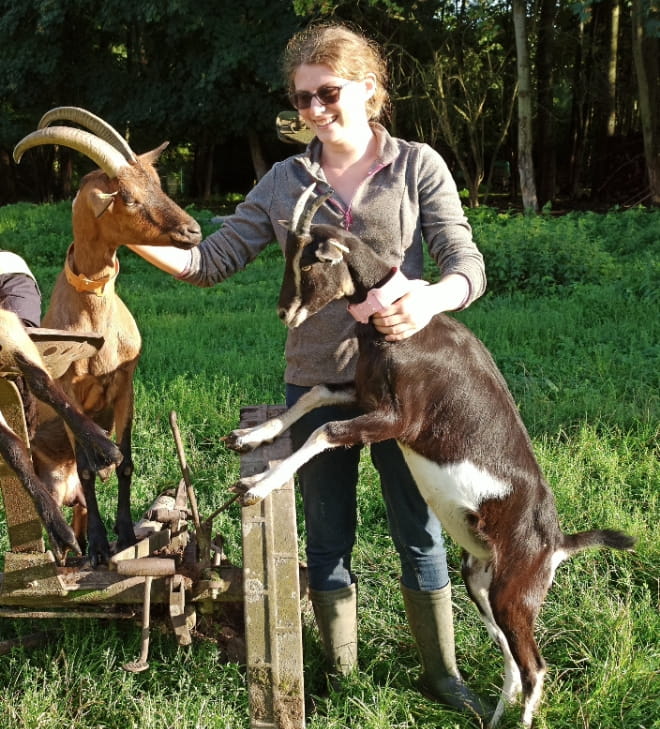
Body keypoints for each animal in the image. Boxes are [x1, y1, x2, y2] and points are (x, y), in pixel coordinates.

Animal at [12, 106, 201, 564]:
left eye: (157, 183)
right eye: (127, 196)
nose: (192, 231)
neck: (96, 322)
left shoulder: (126, 385)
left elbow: (126, 463)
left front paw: (127, 534)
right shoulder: (68, 390)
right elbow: (88, 466)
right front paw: (100, 547)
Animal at [226, 185, 636, 724]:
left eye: (310, 262)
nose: (284, 313)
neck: (401, 325)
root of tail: (557, 542)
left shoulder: (398, 420)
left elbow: (327, 430)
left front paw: (256, 485)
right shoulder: (365, 393)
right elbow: (316, 393)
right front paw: (252, 437)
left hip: (516, 594)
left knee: (536, 666)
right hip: (480, 581)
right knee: (511, 660)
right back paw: (493, 718)